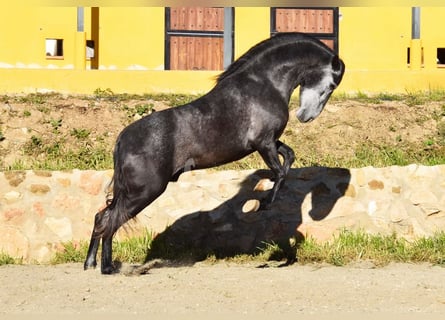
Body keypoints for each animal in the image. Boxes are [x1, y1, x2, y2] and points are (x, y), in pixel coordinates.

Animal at [85, 32, 346, 274]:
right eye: (331, 85)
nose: (306, 117)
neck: (264, 84)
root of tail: (123, 140)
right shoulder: (263, 143)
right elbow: (281, 172)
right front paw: (262, 205)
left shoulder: (270, 141)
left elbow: (289, 157)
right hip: (145, 191)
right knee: (109, 220)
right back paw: (106, 267)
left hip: (132, 191)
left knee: (101, 217)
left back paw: (91, 264)